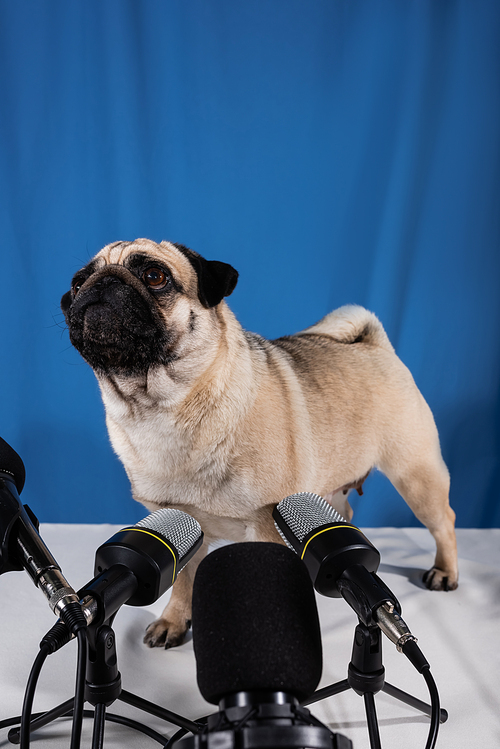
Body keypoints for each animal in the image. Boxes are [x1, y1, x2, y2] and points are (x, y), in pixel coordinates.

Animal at [61, 241, 458, 648]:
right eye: (77, 283)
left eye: (155, 276)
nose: (101, 282)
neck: (164, 407)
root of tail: (375, 345)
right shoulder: (177, 524)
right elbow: (182, 581)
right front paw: (173, 621)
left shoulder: (266, 523)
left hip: (415, 475)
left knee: (444, 521)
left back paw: (445, 573)